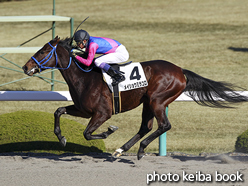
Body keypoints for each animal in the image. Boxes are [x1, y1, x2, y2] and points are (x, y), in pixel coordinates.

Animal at [22, 36, 247, 160]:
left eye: (42, 51)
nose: (25, 67)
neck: (84, 77)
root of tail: (180, 71)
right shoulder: (84, 110)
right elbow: (58, 111)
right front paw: (61, 138)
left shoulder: (102, 113)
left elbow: (87, 133)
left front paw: (108, 132)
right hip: (148, 102)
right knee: (146, 127)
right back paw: (121, 150)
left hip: (158, 100)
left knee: (164, 125)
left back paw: (139, 149)